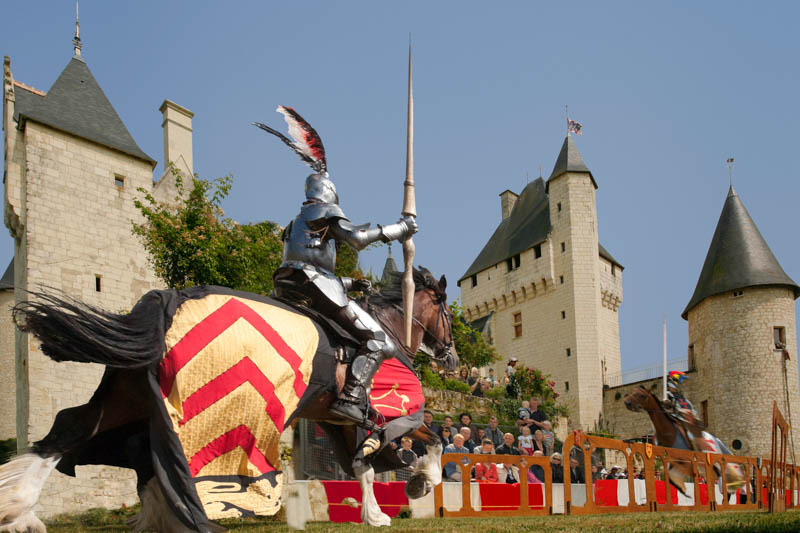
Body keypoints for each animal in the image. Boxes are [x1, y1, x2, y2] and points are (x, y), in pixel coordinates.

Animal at [0, 270, 456, 532]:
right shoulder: (386, 413)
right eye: (448, 314)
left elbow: (362, 465)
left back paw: (20, 513)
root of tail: (164, 305)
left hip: (130, 396)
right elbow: (432, 438)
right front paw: (420, 482)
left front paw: (377, 512)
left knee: (72, 428)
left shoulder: (339, 418)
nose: (450, 357)